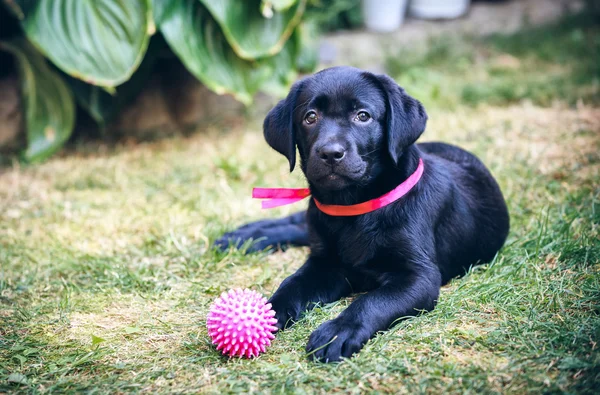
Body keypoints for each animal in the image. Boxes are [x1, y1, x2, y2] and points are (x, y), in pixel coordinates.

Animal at [216, 66, 506, 364]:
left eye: (363, 116)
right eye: (310, 117)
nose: (330, 153)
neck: (352, 209)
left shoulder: (419, 277)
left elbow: (372, 301)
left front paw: (338, 331)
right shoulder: (324, 263)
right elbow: (291, 284)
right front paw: (263, 312)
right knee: (298, 224)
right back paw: (244, 236)